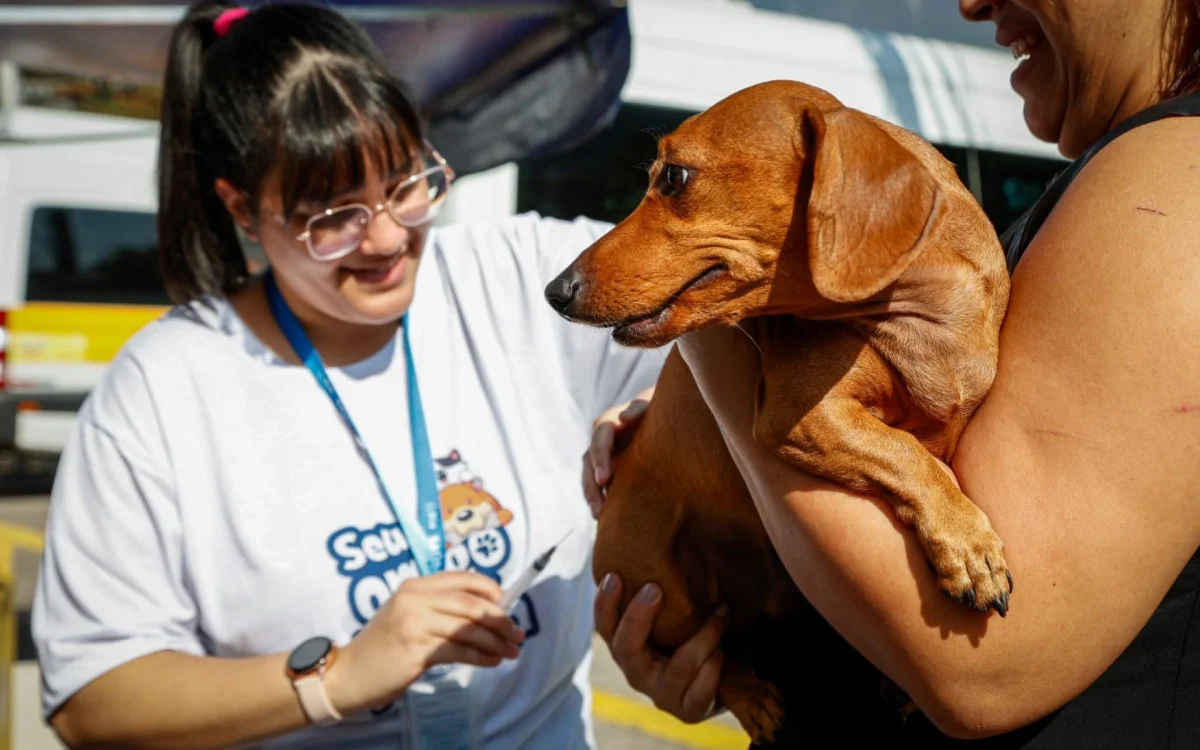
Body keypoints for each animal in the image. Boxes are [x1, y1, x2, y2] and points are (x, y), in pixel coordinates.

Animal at [544, 79, 1012, 744]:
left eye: (674, 177)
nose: (555, 291)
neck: (923, 319)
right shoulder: (801, 417)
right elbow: (910, 456)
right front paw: (968, 547)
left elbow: (924, 453)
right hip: (659, 590)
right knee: (710, 654)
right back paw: (753, 698)